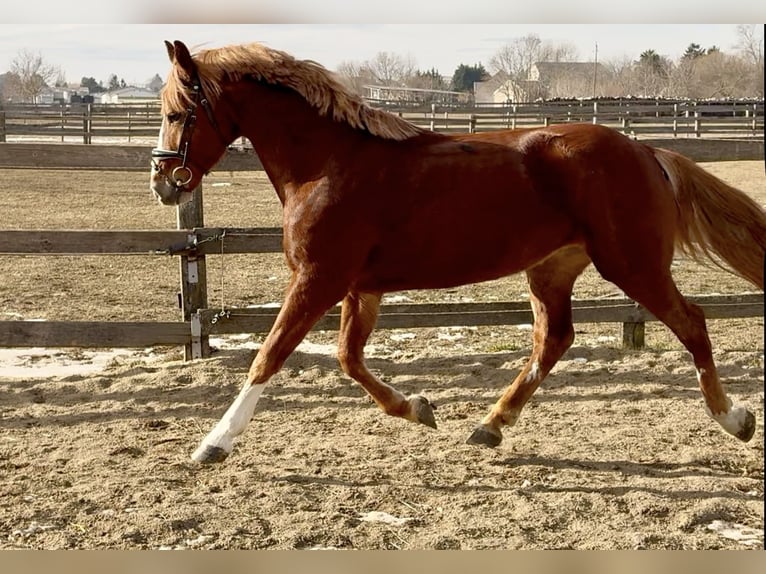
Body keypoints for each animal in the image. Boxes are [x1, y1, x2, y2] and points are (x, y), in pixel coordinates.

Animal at [150, 40, 765, 464]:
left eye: (178, 112)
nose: (163, 184)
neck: (328, 164)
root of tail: (646, 150)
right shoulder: (359, 287)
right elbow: (349, 359)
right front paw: (420, 409)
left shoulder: (318, 278)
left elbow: (270, 355)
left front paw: (214, 443)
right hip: (551, 268)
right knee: (554, 339)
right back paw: (490, 425)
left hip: (632, 265)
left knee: (692, 322)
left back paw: (735, 419)